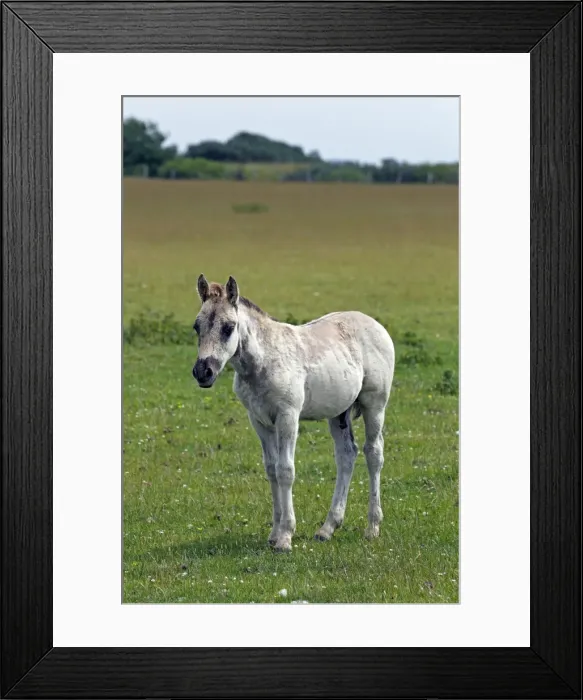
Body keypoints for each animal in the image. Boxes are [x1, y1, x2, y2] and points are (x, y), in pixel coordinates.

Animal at [192, 274, 395, 553]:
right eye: (196, 327)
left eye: (228, 327)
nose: (203, 372)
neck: (263, 361)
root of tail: (376, 325)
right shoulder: (259, 420)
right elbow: (271, 469)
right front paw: (274, 532)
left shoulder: (288, 416)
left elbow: (285, 470)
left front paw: (285, 537)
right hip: (338, 413)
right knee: (346, 455)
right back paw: (327, 528)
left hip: (374, 405)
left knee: (374, 454)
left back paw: (373, 527)